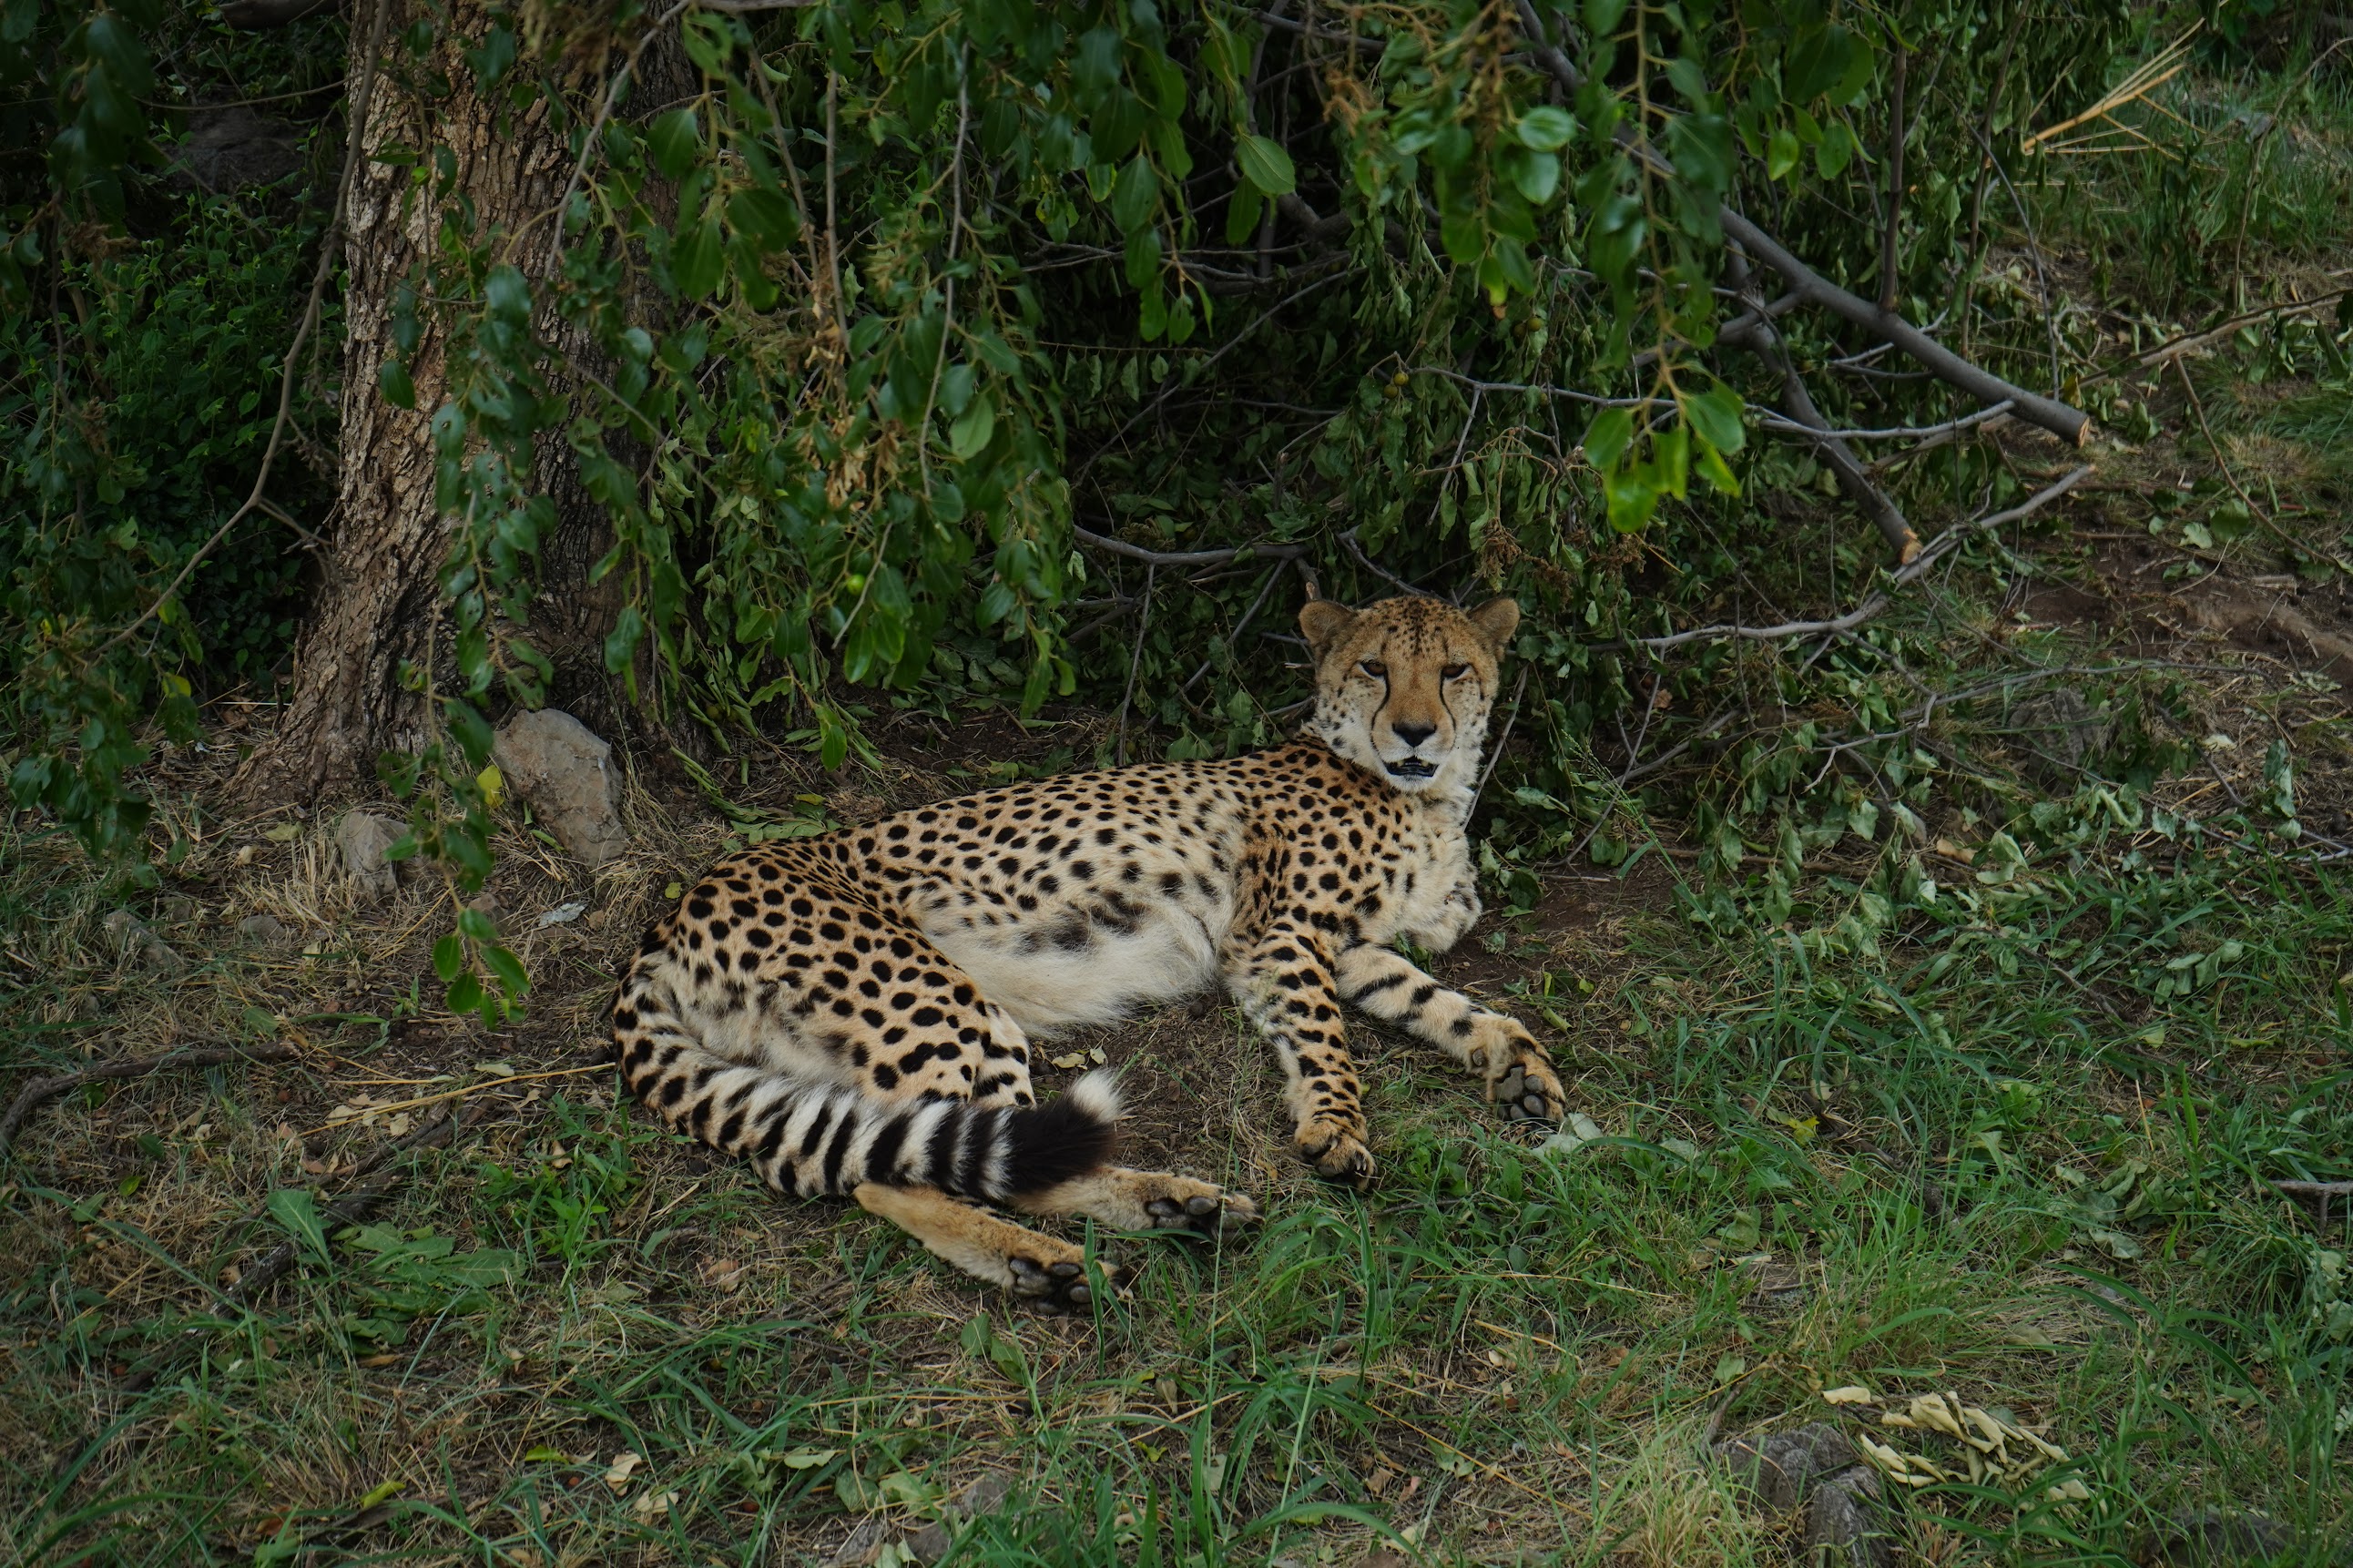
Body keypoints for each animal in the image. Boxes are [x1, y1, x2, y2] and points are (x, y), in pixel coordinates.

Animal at [608, 591, 1569, 1309]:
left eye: (1453, 671)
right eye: (1374, 668)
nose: (1414, 732)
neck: (1423, 797)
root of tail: (673, 917)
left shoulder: (1355, 949)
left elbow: (1453, 1005)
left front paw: (1520, 1070)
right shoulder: (1277, 937)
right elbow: (1328, 1042)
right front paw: (1334, 1127)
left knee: (989, 1153)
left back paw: (1169, 1209)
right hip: (944, 1008)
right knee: (909, 1172)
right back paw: (1055, 1259)